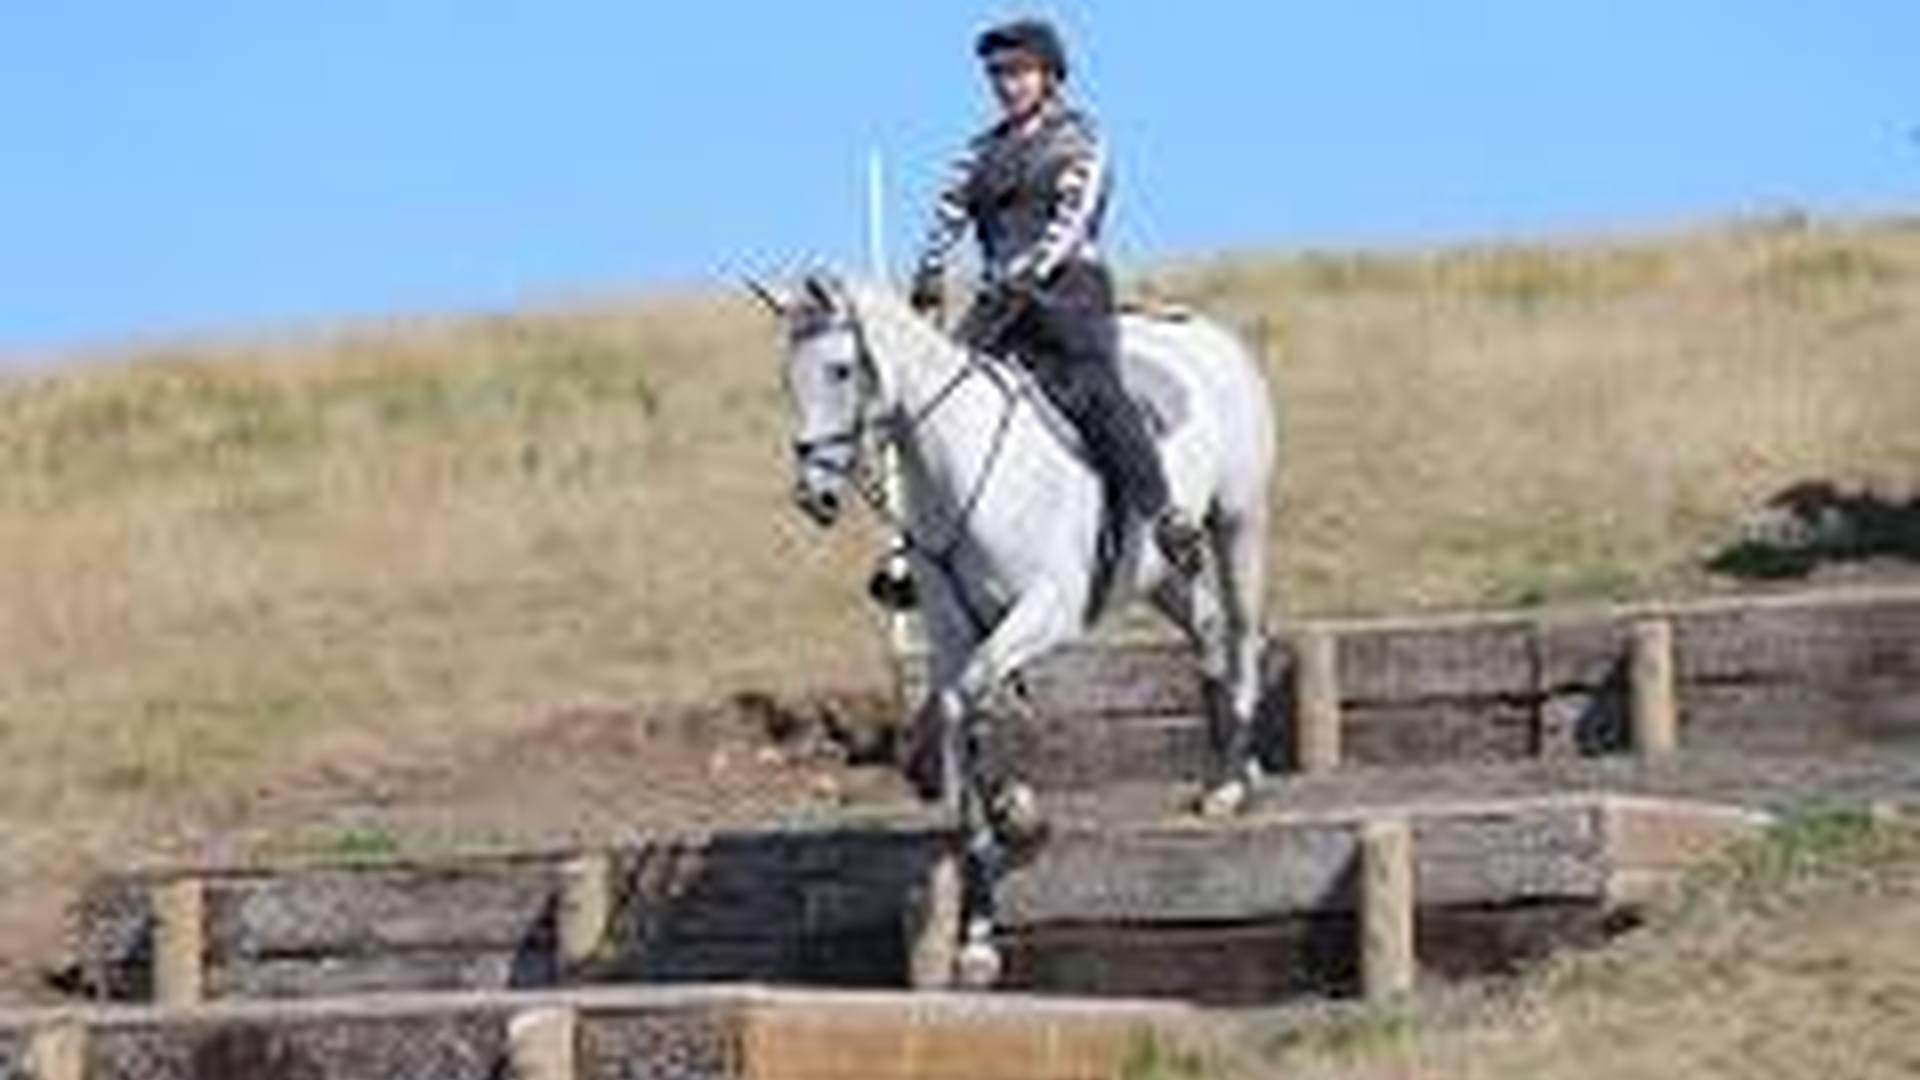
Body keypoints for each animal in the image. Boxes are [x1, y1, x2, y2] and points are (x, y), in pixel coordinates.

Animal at [748, 270, 1274, 983]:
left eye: (839, 369)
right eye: (786, 378)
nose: (815, 495)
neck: (959, 466)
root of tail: (1208, 331)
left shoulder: (1044, 610)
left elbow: (971, 698)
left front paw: (1016, 817)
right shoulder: (952, 633)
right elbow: (956, 711)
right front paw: (982, 913)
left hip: (1239, 525)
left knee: (1243, 632)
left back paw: (1232, 786)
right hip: (1159, 571)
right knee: (1211, 634)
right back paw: (1228, 774)